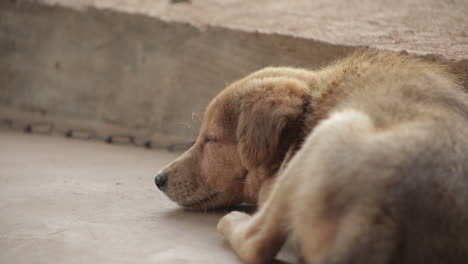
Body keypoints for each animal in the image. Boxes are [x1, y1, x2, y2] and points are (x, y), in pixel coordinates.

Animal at [155, 52, 468, 264]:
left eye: (211, 140)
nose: (158, 179)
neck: (310, 106)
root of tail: (382, 208)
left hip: (332, 130)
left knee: (257, 243)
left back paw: (234, 221)